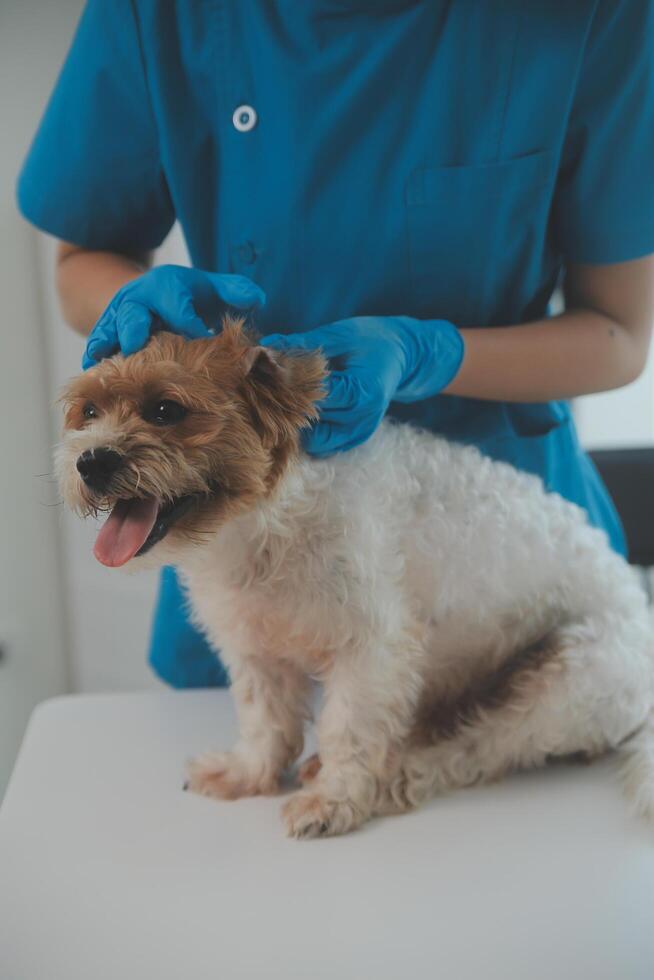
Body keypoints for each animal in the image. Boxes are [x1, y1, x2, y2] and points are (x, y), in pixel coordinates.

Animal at [57, 320, 654, 836]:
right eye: (89, 411)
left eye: (165, 409)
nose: (92, 461)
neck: (263, 527)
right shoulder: (254, 649)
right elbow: (264, 722)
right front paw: (249, 774)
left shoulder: (373, 652)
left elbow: (350, 729)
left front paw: (335, 799)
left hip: (562, 680)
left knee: (472, 751)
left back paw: (396, 775)